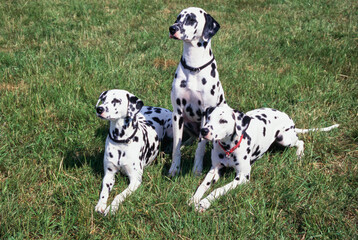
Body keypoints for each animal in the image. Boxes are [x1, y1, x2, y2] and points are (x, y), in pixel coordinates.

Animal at [168, 7, 227, 176]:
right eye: (178, 18)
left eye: (191, 19)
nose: (172, 28)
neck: (193, 67)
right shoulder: (177, 113)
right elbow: (176, 147)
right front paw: (174, 168)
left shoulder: (205, 114)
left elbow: (200, 148)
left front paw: (197, 169)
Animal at [189, 106, 340, 211]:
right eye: (208, 118)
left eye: (223, 121)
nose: (204, 131)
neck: (228, 148)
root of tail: (290, 120)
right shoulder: (214, 170)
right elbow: (203, 185)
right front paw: (195, 198)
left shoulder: (243, 177)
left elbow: (219, 189)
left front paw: (205, 202)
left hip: (284, 138)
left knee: (300, 142)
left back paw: (299, 155)